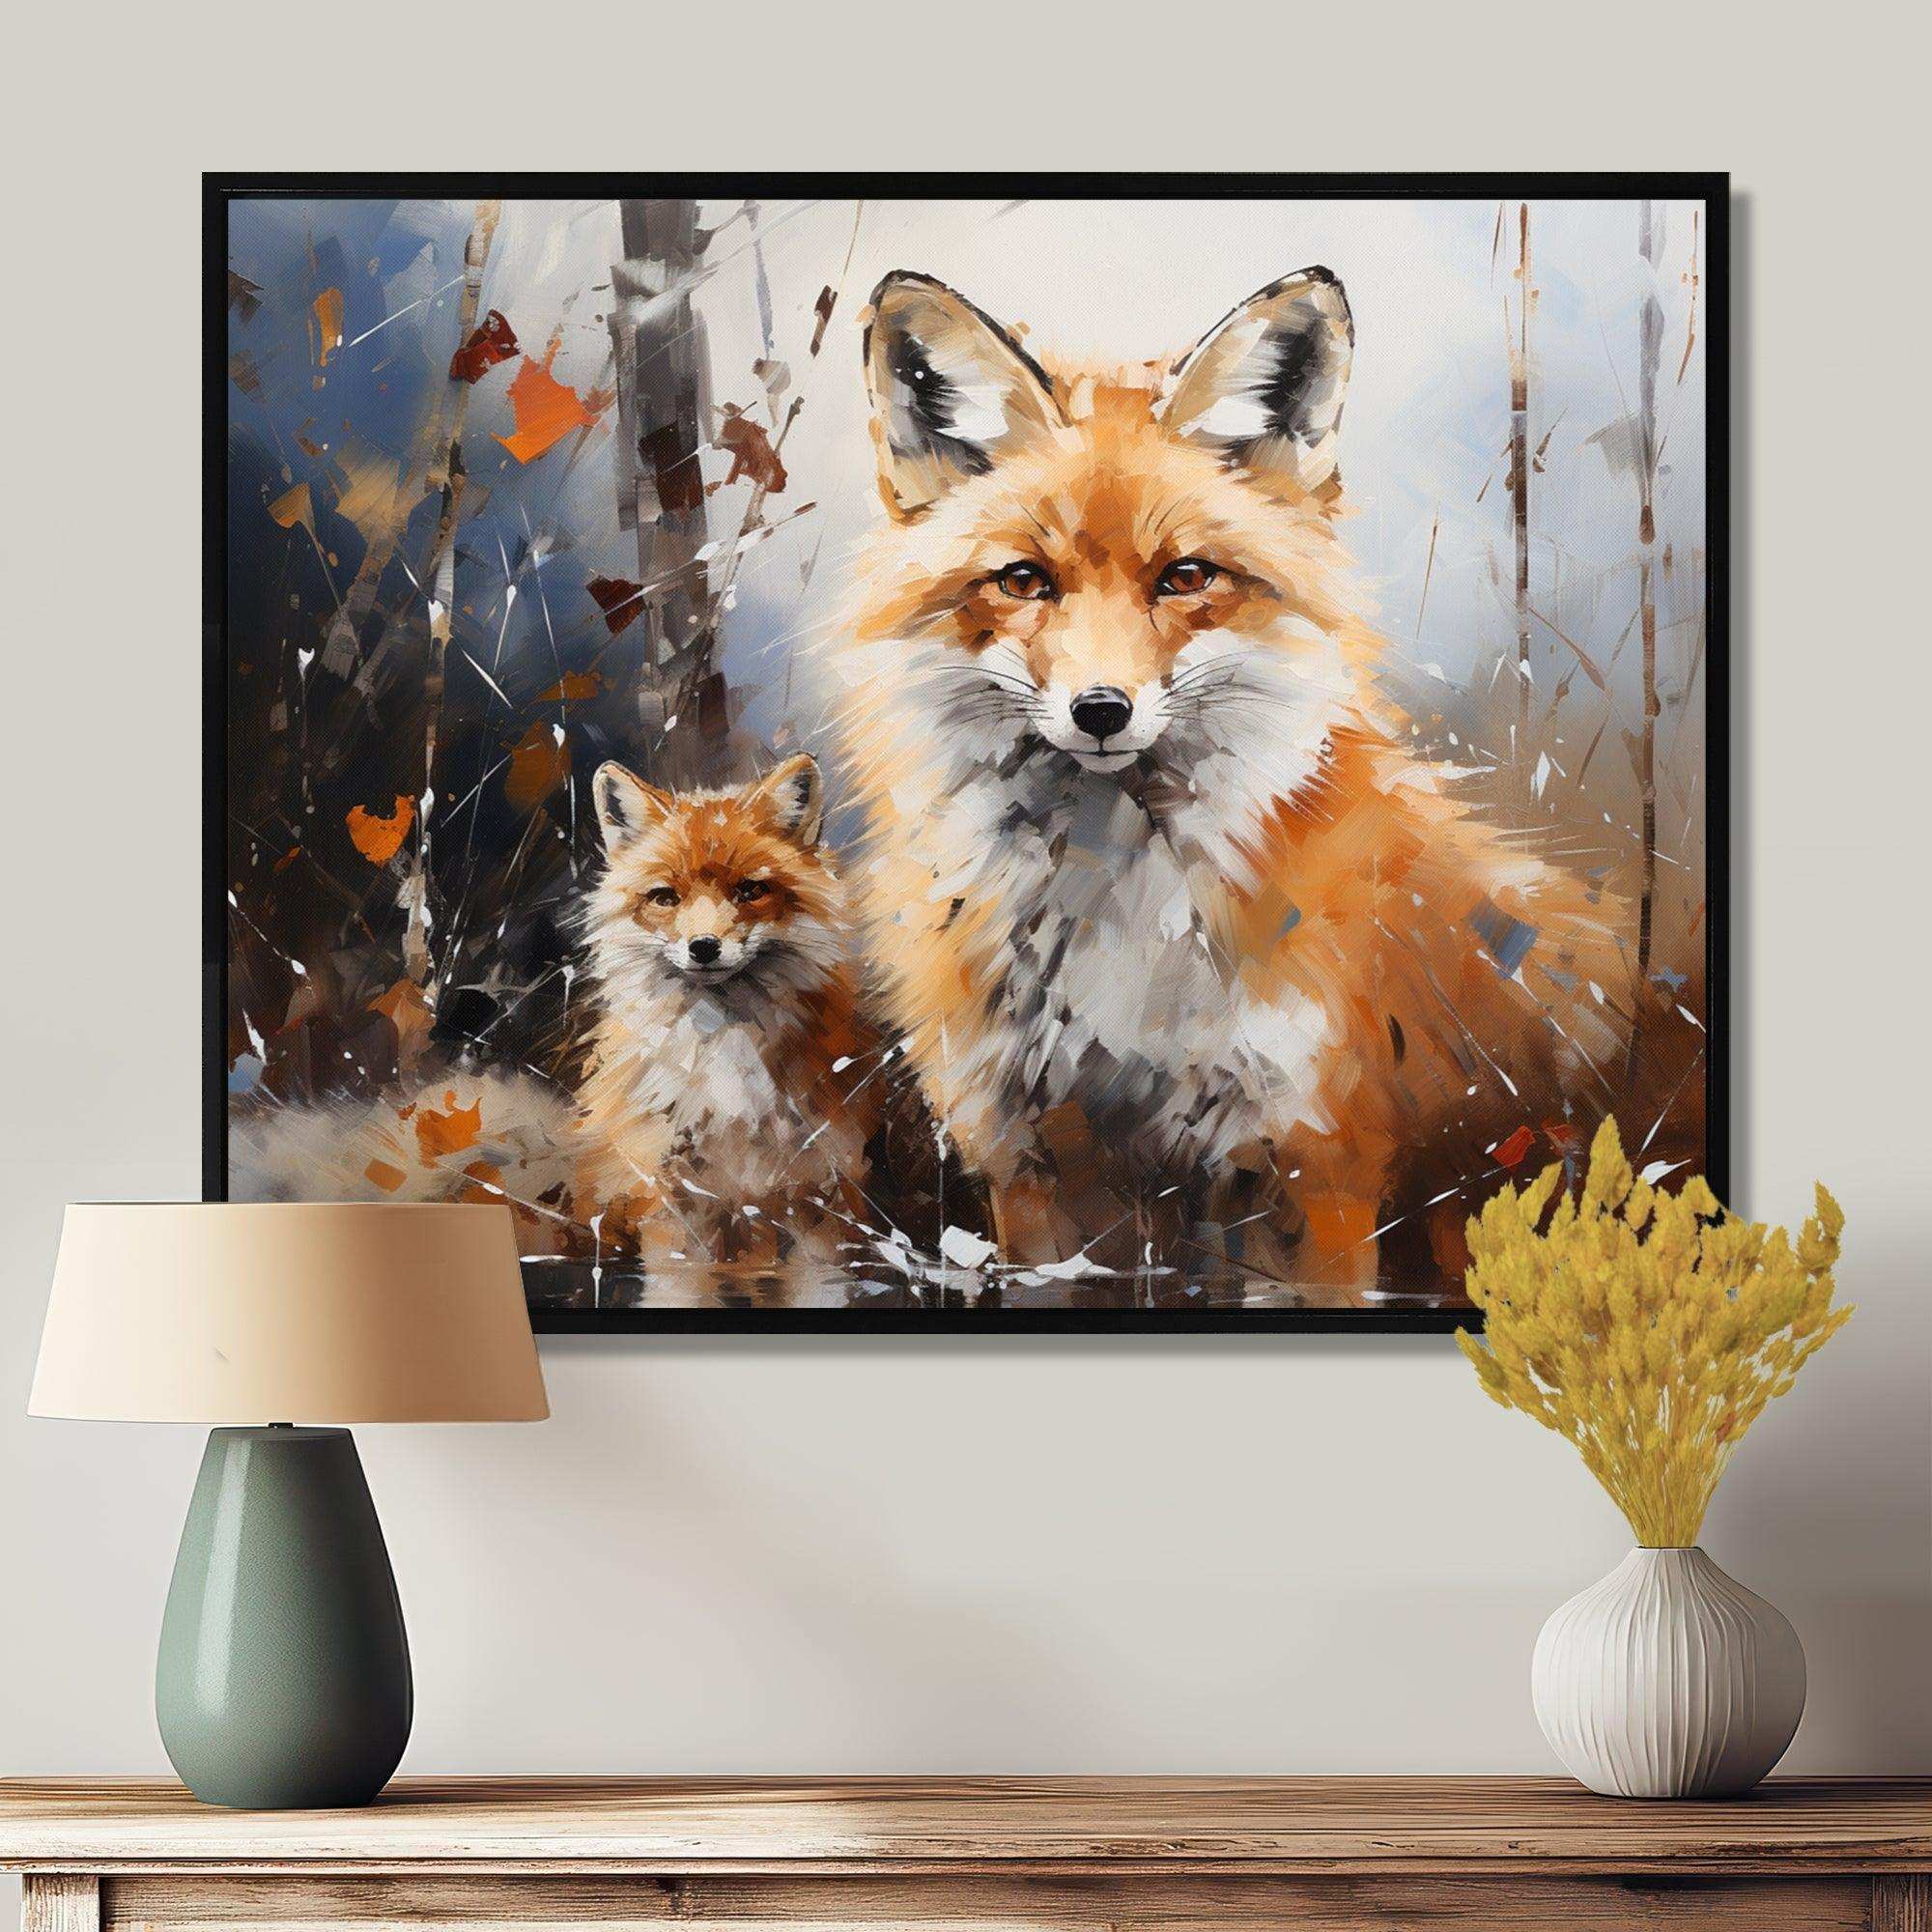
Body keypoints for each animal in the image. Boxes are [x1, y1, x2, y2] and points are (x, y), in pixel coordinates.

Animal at [836, 267, 1634, 1299]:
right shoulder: (1030, 1161)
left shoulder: (1314, 1158)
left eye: (1185, 576)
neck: (1116, 916)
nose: (1102, 710)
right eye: (1022, 580)